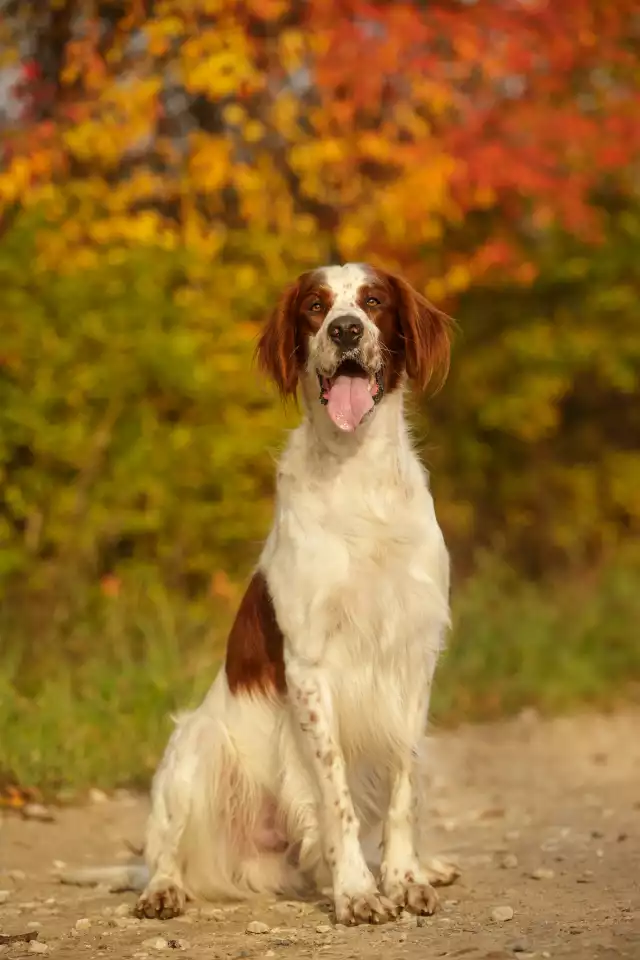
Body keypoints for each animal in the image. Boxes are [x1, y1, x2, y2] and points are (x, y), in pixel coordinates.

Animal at [134, 266, 456, 928]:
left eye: (373, 301)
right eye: (314, 306)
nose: (346, 330)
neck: (358, 475)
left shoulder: (414, 659)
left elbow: (403, 788)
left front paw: (406, 878)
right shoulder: (310, 667)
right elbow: (336, 798)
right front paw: (357, 892)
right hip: (193, 747)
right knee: (165, 848)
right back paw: (163, 890)